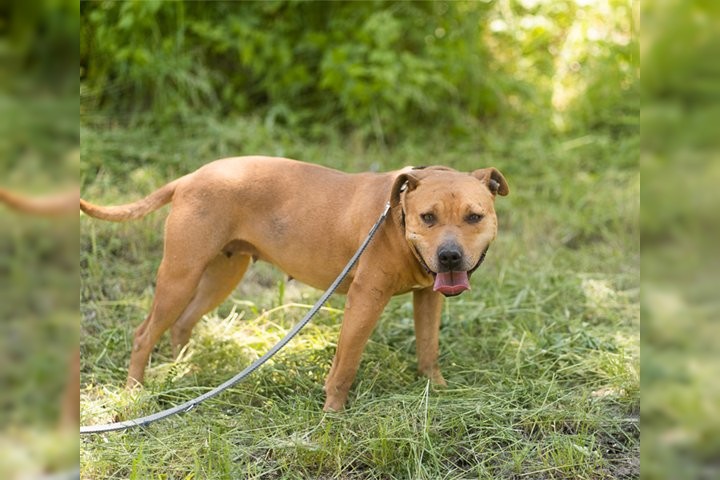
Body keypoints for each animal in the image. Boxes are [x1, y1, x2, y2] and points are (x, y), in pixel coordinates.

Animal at [81, 156, 510, 410]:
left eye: (474, 217)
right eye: (428, 217)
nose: (450, 256)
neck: (397, 217)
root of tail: (190, 177)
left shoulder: (428, 298)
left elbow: (428, 348)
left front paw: (437, 389)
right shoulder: (366, 300)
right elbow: (345, 366)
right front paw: (333, 416)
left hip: (221, 276)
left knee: (182, 324)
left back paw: (184, 371)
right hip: (179, 277)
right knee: (144, 333)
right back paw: (135, 393)